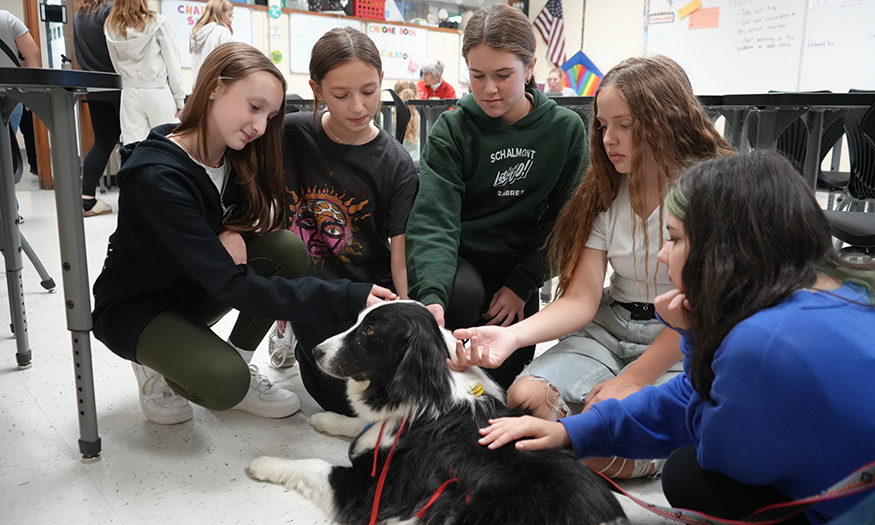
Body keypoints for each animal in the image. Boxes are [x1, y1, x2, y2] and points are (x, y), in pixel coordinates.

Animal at [250, 298, 628, 524]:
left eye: (369, 331)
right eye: (358, 321)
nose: (315, 351)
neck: (427, 387)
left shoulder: (368, 490)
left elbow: (312, 465)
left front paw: (265, 463)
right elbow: (361, 424)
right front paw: (329, 419)